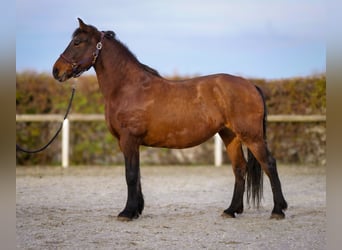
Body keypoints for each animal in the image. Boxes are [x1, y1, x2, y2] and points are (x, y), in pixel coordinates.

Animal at [53, 18, 288, 220]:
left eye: (77, 42)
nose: (56, 71)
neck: (127, 87)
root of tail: (251, 85)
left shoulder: (129, 140)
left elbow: (130, 175)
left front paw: (127, 213)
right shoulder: (129, 143)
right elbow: (137, 175)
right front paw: (136, 210)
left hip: (252, 136)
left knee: (269, 164)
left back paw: (278, 210)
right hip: (230, 135)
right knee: (240, 168)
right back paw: (231, 210)